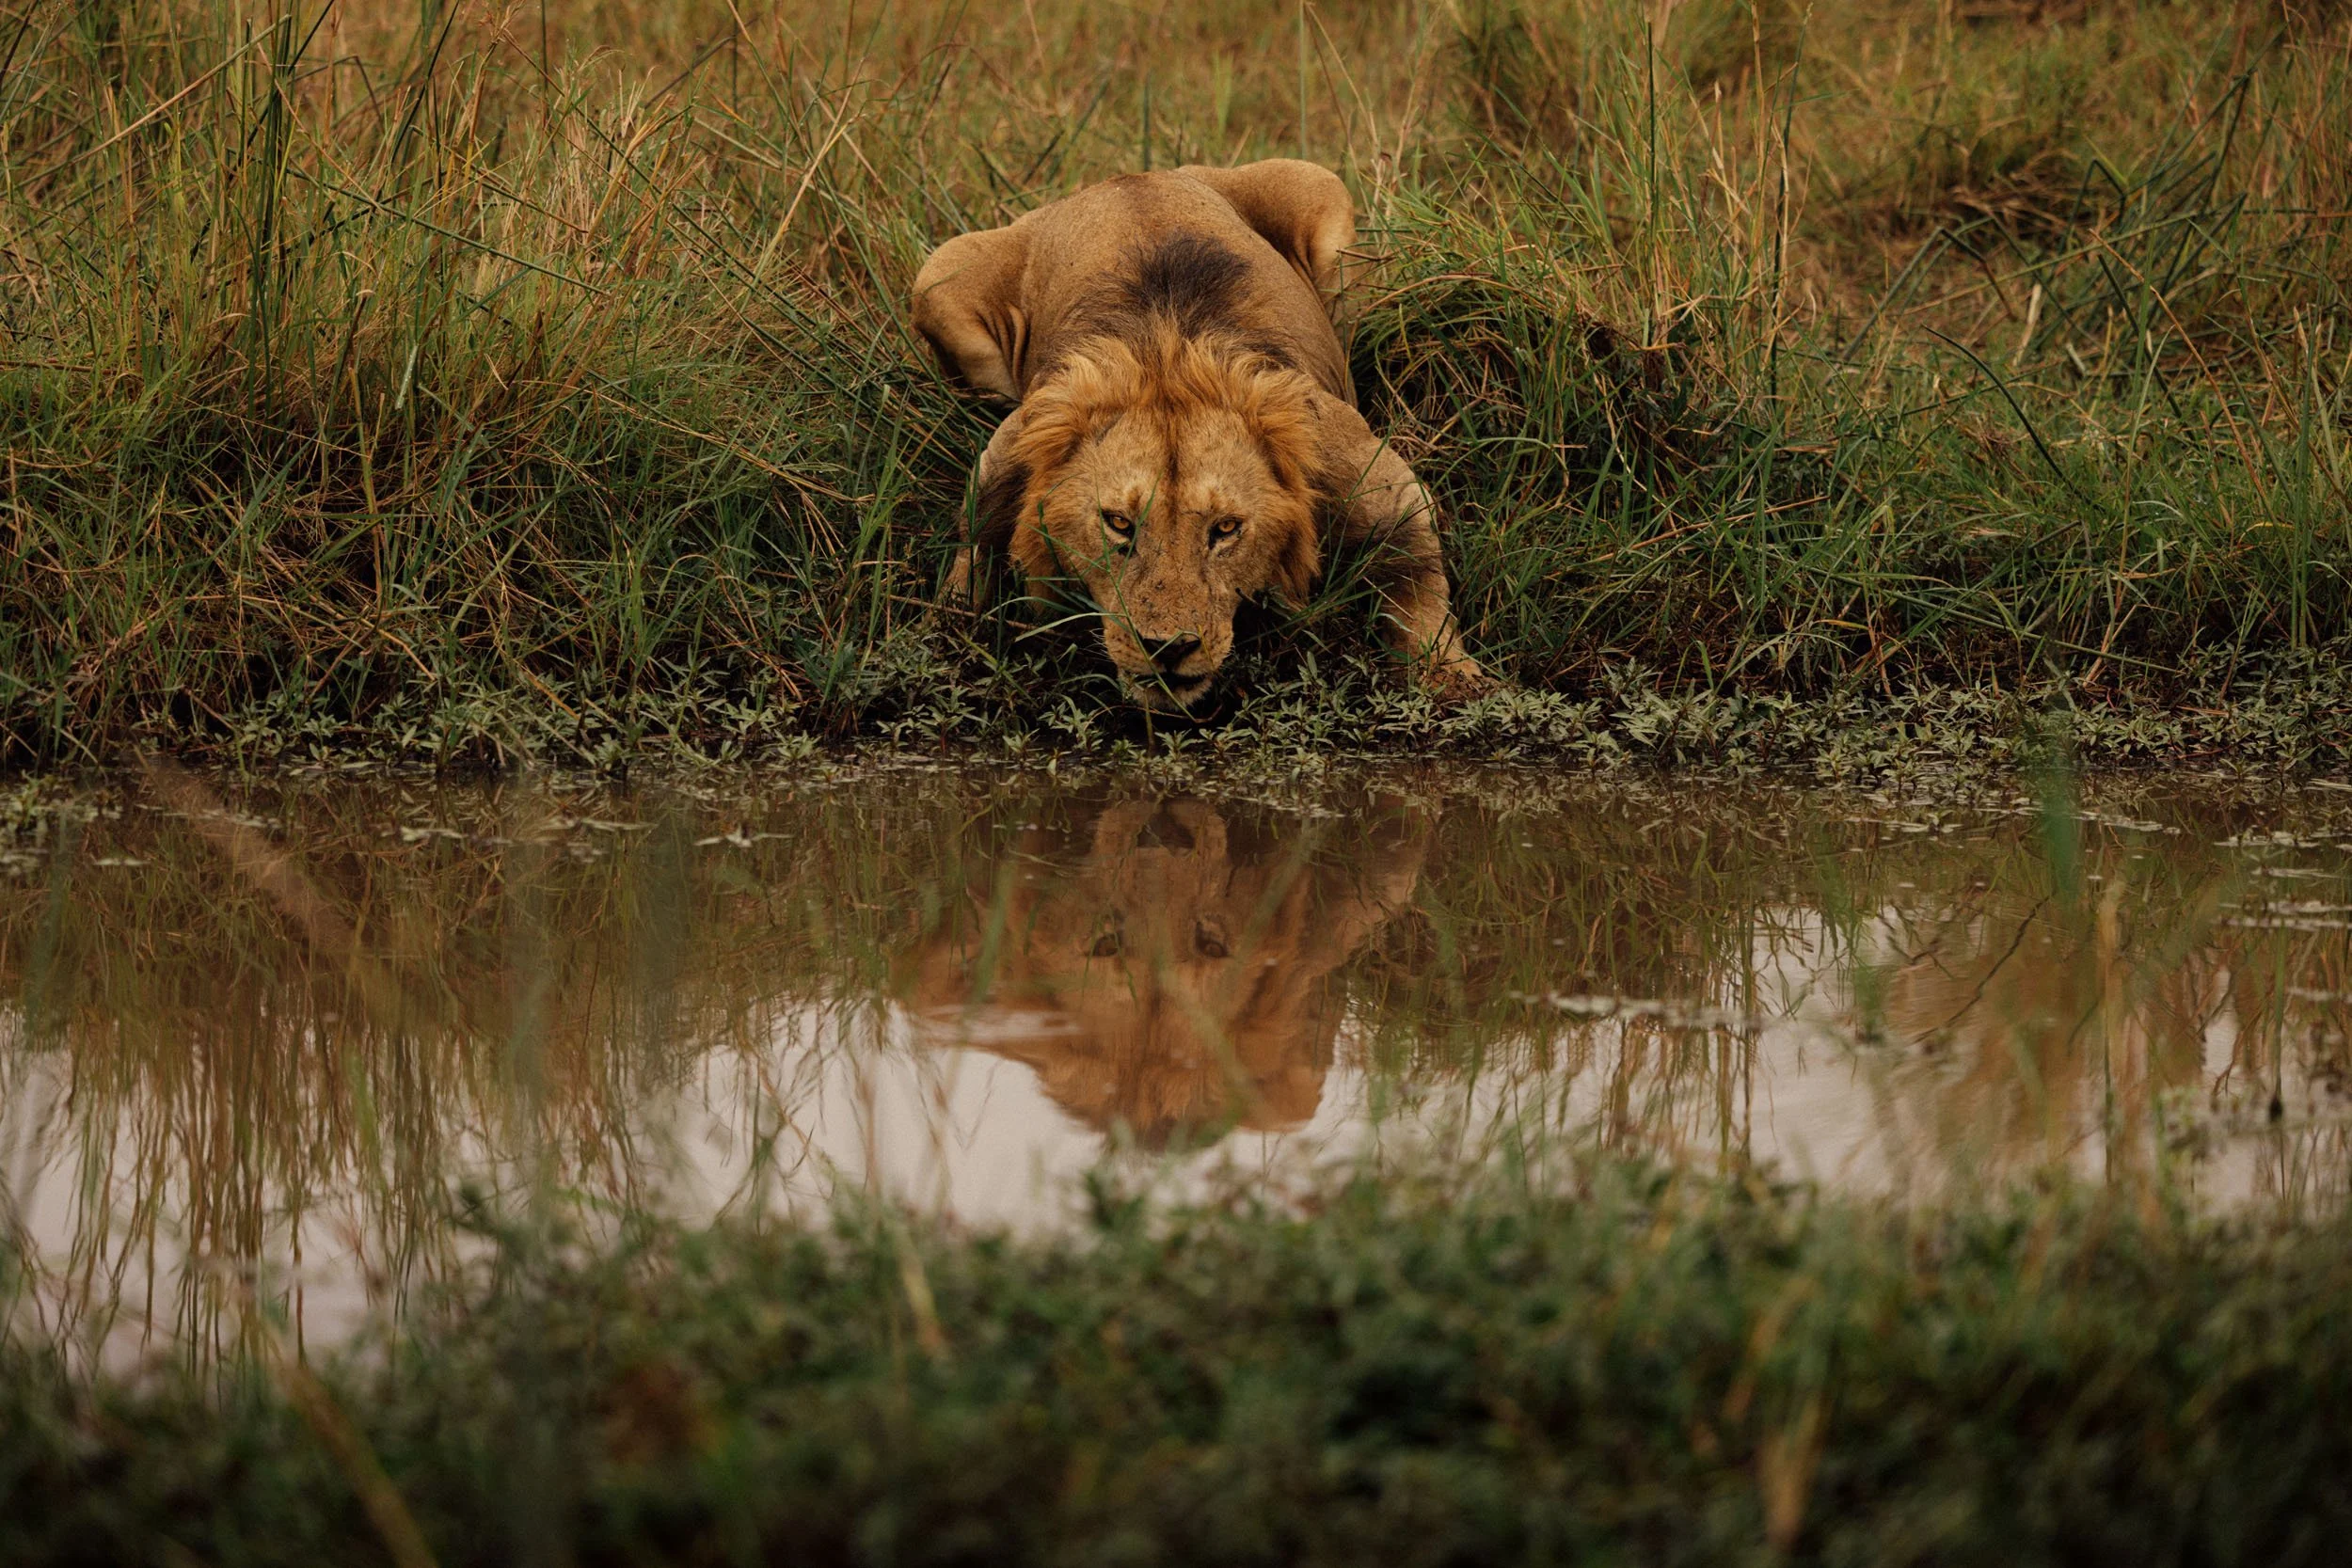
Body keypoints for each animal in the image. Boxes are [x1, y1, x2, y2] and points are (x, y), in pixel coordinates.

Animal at [911, 160, 1485, 713]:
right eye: (1118, 523)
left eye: (1226, 528)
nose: (1169, 647)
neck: (1168, 358)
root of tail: (1132, 175)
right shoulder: (1011, 446)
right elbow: (973, 549)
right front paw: (945, 641)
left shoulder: (1373, 478)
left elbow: (1417, 580)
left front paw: (1450, 678)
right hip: (937, 278)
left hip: (1323, 194)